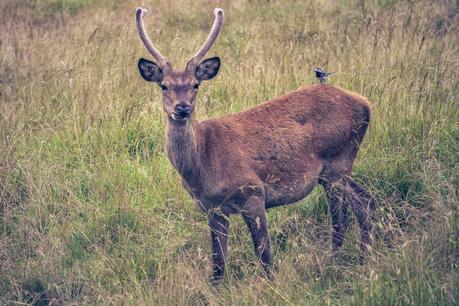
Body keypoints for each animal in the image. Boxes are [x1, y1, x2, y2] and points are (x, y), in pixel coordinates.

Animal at [134, 7, 378, 284]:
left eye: (195, 84)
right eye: (164, 86)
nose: (182, 108)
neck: (203, 165)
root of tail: (366, 104)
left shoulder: (253, 192)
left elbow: (264, 254)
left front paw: (270, 285)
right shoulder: (213, 210)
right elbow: (218, 262)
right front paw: (216, 288)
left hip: (337, 162)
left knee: (341, 220)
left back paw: (334, 265)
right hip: (339, 169)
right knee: (366, 203)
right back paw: (364, 258)